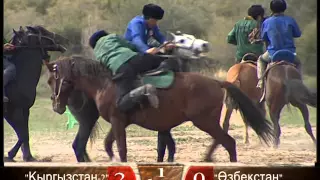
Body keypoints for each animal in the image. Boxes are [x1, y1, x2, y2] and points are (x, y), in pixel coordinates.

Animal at [2, 25, 68, 162]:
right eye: (43, 31)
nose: (62, 39)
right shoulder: (12, 112)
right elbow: (22, 135)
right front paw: (10, 155)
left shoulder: (25, 111)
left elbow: (25, 134)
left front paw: (28, 157)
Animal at [45, 55, 276, 162]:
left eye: (51, 79)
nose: (56, 106)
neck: (106, 83)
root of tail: (217, 82)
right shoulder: (119, 122)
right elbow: (109, 145)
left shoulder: (119, 122)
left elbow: (121, 148)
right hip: (207, 122)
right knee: (223, 141)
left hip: (205, 121)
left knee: (228, 142)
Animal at [63, 31, 212, 163]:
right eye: (182, 40)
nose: (205, 44)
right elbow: (164, 146)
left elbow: (165, 146)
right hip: (89, 119)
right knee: (80, 145)